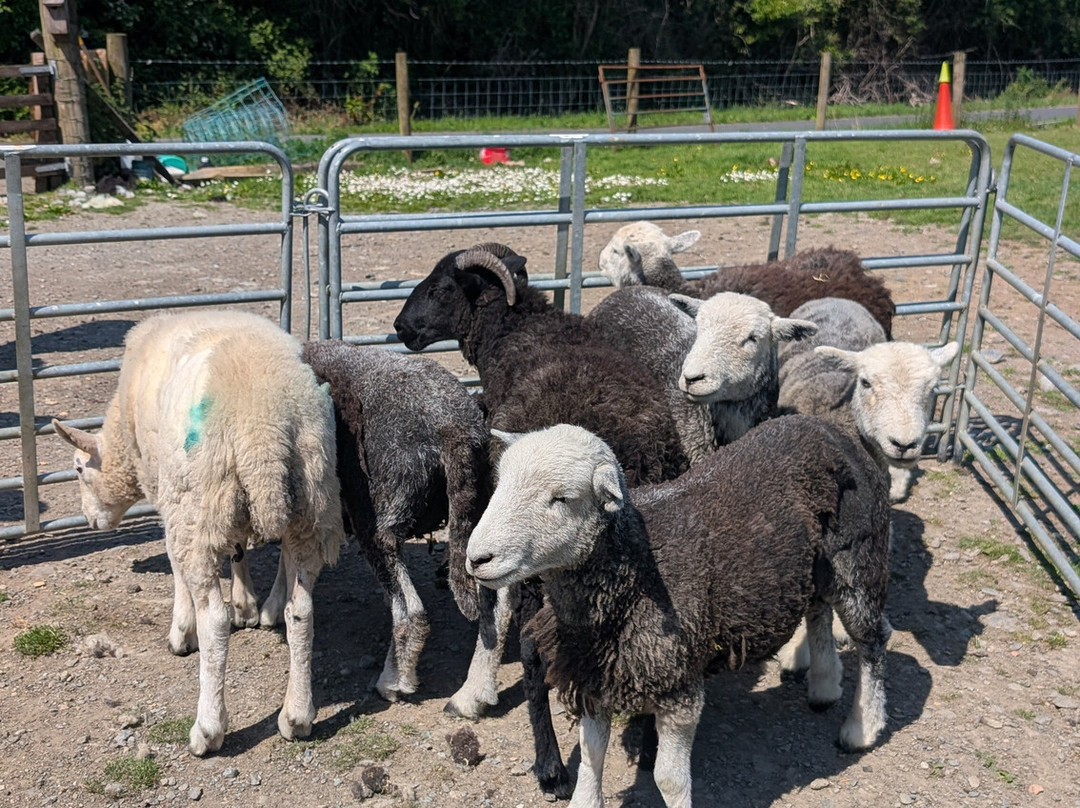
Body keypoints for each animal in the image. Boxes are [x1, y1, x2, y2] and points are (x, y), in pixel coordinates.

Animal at [52, 309, 344, 756]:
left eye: (79, 469)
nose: (91, 522)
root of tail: (262, 425)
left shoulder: (168, 493)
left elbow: (177, 569)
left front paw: (181, 631)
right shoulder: (223, 510)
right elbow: (239, 551)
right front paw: (246, 605)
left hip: (199, 500)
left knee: (215, 621)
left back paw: (208, 728)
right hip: (310, 501)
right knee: (302, 611)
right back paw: (296, 716)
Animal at [394, 242, 689, 797]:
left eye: (441, 288)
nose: (401, 327)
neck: (519, 332)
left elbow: (497, 614)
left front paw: (474, 691)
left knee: (532, 649)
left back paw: (550, 765)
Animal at [466, 417, 892, 808]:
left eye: (561, 498)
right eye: (499, 484)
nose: (477, 558)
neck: (634, 564)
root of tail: (830, 428)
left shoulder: (679, 686)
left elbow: (669, 779)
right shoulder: (596, 673)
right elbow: (591, 756)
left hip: (858, 551)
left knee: (872, 638)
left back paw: (862, 727)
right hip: (815, 564)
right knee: (819, 609)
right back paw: (824, 684)